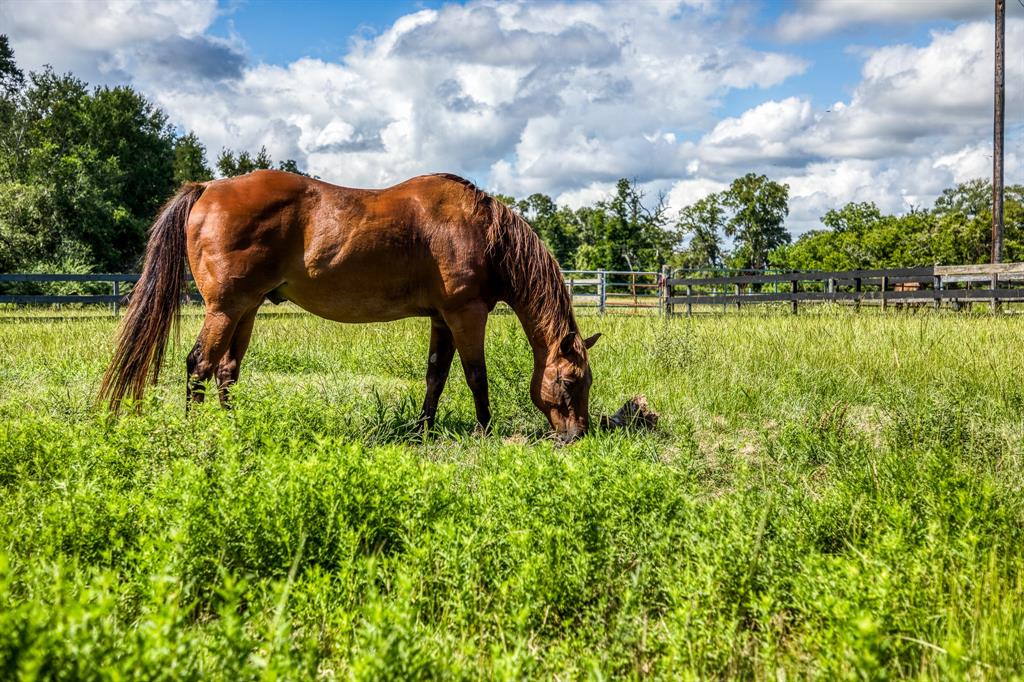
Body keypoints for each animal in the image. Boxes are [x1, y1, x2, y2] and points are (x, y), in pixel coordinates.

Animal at [97, 169, 598, 440]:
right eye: (571, 381)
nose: (578, 435)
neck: (482, 231)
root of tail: (208, 189)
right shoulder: (466, 314)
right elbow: (477, 376)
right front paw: (485, 430)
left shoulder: (442, 319)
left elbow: (436, 375)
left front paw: (423, 428)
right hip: (225, 308)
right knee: (199, 365)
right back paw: (197, 430)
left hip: (247, 308)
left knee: (225, 370)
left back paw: (231, 425)